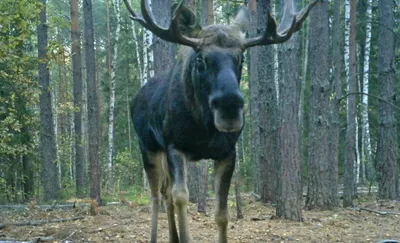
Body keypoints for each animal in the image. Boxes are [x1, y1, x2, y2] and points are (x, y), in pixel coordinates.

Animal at [123, 0, 318, 242]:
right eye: (200, 58)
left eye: (241, 57)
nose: (230, 106)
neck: (204, 129)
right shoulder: (175, 147)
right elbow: (181, 198)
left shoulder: (227, 153)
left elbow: (222, 214)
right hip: (148, 147)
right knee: (156, 196)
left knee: (165, 193)